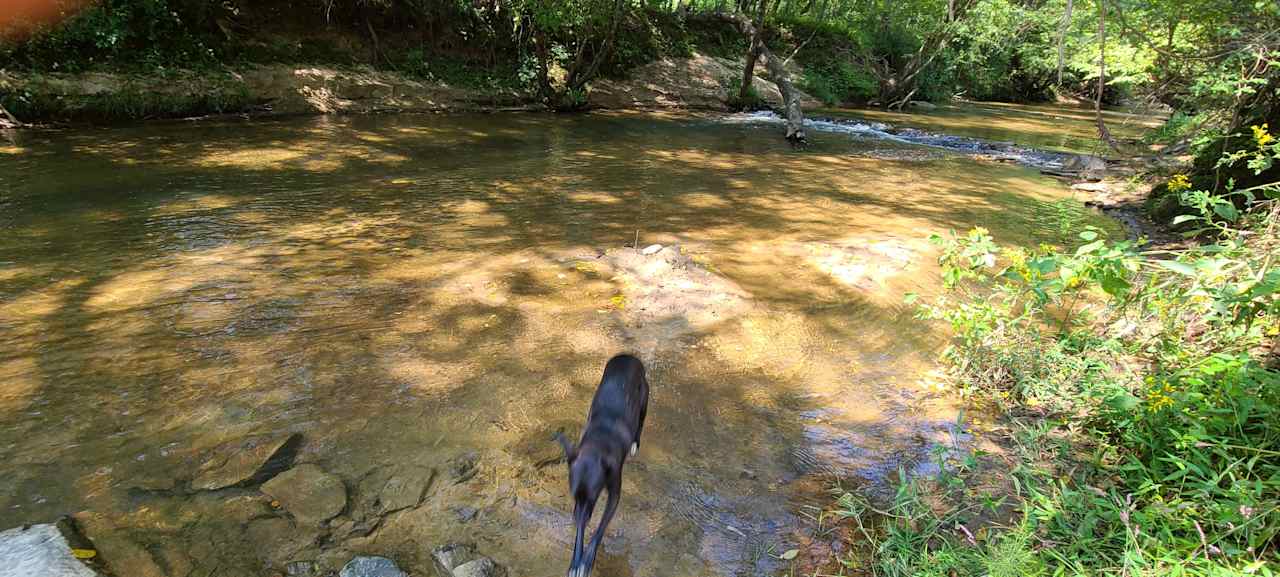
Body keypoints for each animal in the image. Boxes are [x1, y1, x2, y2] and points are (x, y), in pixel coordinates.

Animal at [555, 355, 650, 577]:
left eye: (594, 498)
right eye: (574, 497)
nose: (576, 518)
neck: (597, 444)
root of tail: (628, 356)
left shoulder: (613, 494)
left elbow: (599, 529)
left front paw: (587, 560)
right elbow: (582, 530)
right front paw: (576, 561)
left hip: (644, 401)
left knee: (640, 422)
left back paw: (635, 443)